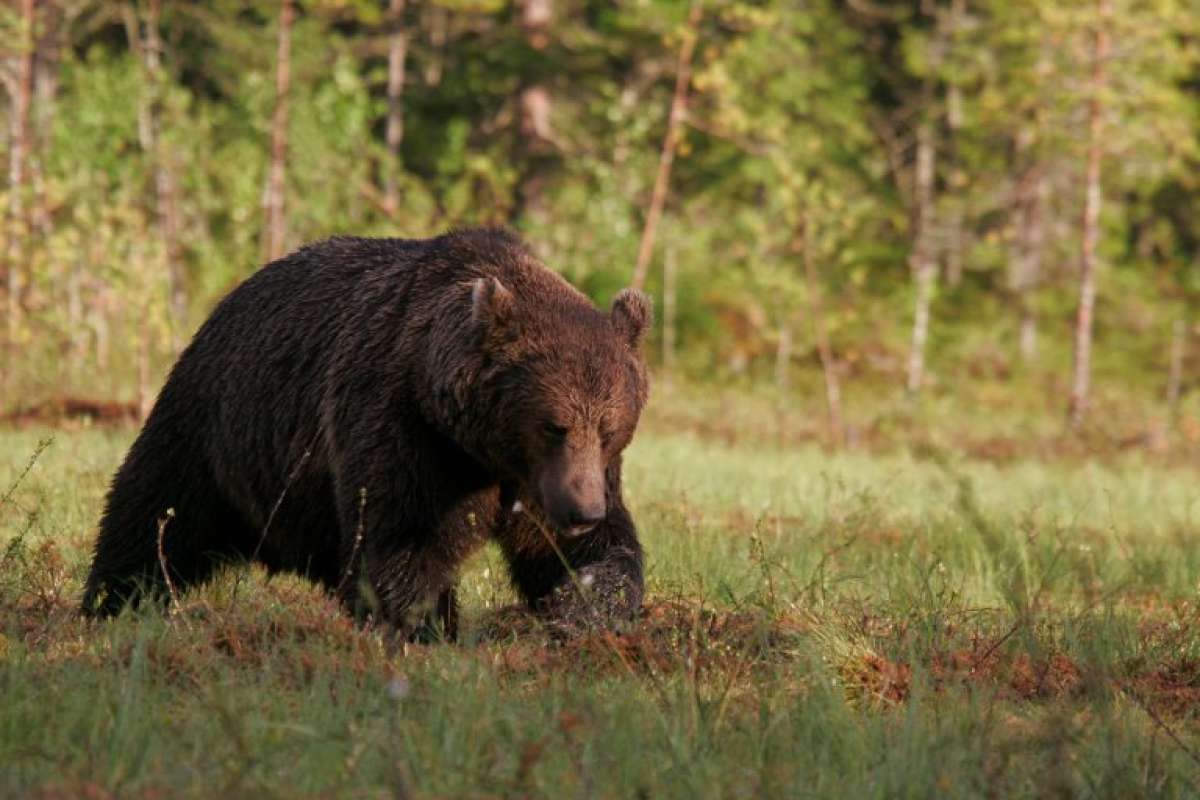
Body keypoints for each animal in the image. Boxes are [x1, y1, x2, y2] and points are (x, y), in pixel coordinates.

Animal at [81, 227, 652, 642]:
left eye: (609, 429)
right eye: (554, 424)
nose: (582, 511)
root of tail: (228, 300)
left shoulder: (539, 482)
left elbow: (585, 553)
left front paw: (580, 611)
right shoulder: (402, 425)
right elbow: (400, 540)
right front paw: (423, 628)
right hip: (213, 426)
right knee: (153, 515)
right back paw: (110, 603)